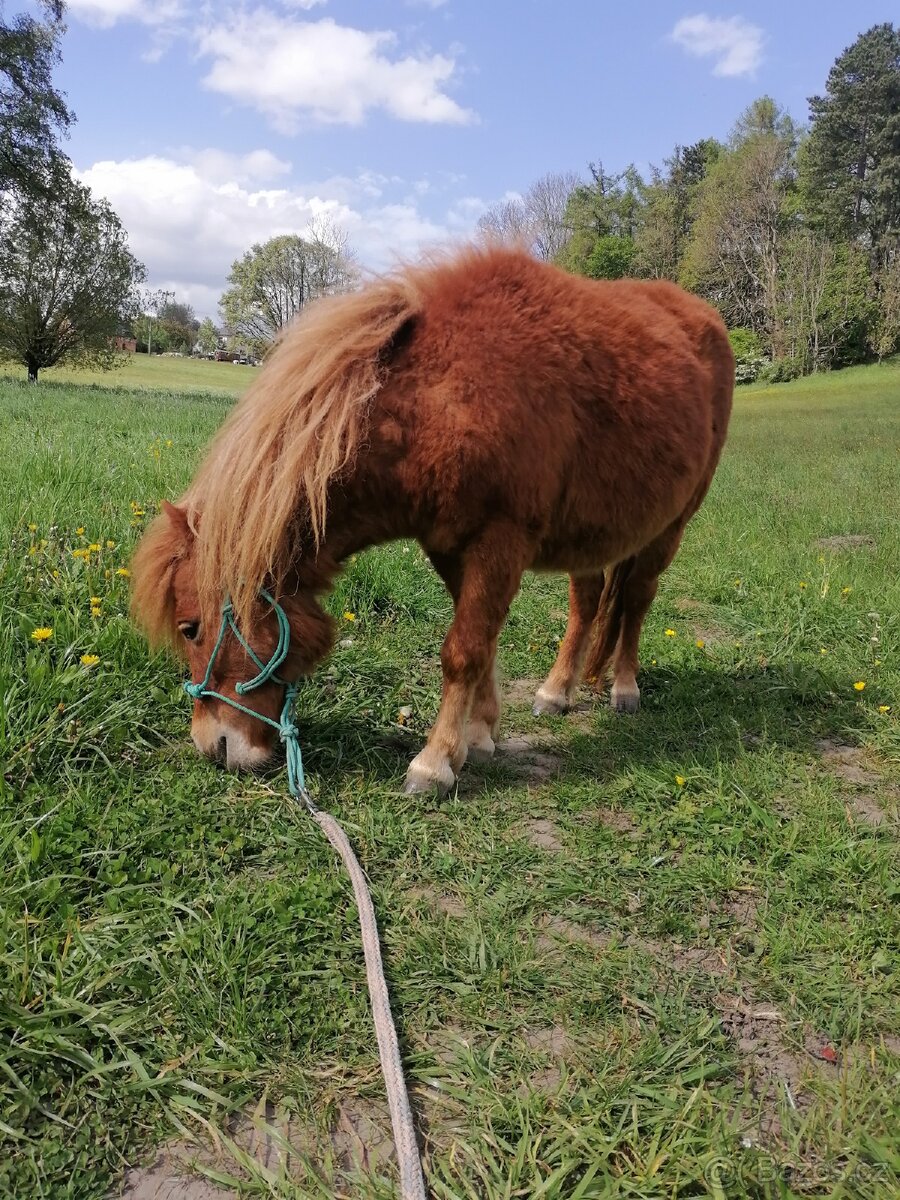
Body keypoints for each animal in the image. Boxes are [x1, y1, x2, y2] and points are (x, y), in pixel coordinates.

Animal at [131, 244, 734, 794]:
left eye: (190, 627)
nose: (212, 746)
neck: (443, 401)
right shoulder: (447, 545)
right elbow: (482, 645)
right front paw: (481, 736)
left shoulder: (499, 541)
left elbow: (464, 652)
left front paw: (436, 762)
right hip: (589, 538)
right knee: (586, 605)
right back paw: (556, 691)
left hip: (670, 528)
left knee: (637, 601)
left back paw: (625, 689)